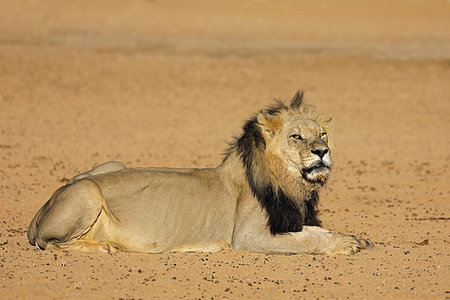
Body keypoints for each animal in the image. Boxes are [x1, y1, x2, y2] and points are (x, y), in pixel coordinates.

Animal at [29, 90, 372, 254]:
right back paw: (105, 247)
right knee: (51, 244)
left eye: (322, 134)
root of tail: (40, 212)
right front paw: (344, 245)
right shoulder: (247, 236)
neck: (290, 182)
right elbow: (306, 240)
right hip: (87, 192)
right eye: (296, 137)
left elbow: (316, 231)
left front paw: (355, 238)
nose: (322, 151)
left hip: (113, 164)